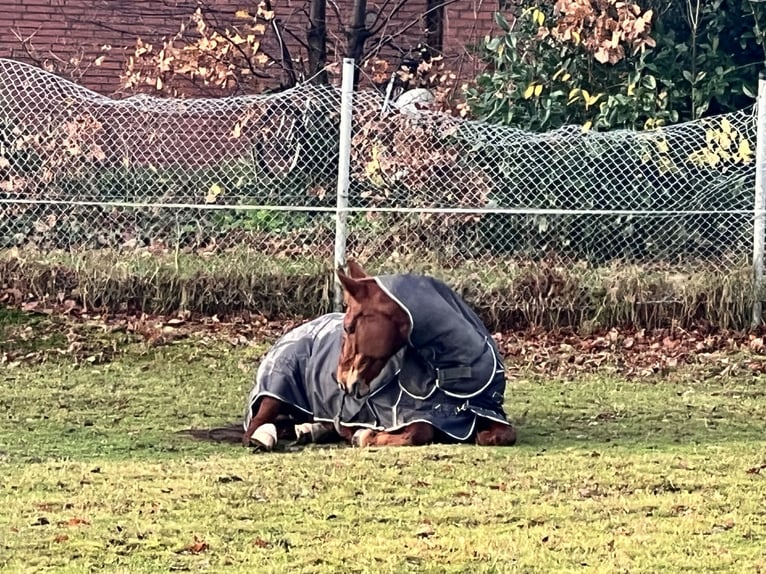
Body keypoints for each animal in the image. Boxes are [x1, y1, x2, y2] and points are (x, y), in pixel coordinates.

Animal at [184, 261, 517, 450]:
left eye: (349, 326)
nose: (341, 380)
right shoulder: (396, 416)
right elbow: (421, 430)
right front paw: (364, 437)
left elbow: (504, 434)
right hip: (275, 393)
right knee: (254, 429)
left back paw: (310, 430)